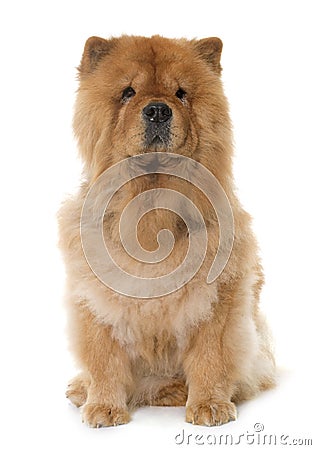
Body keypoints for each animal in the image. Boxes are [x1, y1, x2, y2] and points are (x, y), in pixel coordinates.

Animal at [58, 34, 276, 426]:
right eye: (128, 92)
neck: (150, 212)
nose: (158, 110)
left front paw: (209, 406)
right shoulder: (95, 297)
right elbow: (104, 359)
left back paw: (173, 392)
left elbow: (210, 356)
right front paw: (104, 408)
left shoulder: (217, 297)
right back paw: (83, 390)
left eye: (181, 93)